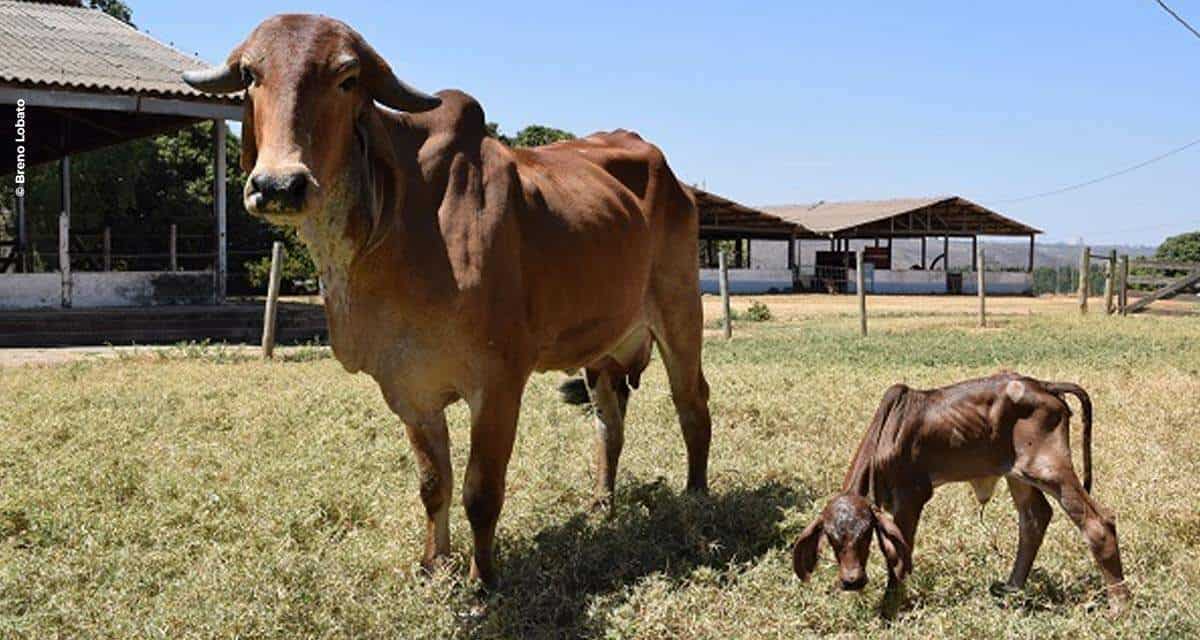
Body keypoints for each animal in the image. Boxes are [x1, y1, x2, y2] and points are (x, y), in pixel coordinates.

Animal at [184, 15, 710, 585]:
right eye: (251, 76)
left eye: (347, 78)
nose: (280, 185)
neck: (395, 230)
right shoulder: (408, 388)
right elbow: (434, 483)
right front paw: (434, 562)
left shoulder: (498, 382)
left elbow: (481, 491)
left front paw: (484, 577)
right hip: (603, 352)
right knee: (609, 423)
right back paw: (601, 503)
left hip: (680, 313)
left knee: (692, 404)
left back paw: (697, 496)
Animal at [792, 372, 1128, 612]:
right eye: (831, 538)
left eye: (865, 534)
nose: (852, 581)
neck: (887, 434)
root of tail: (1044, 385)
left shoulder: (911, 495)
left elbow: (897, 553)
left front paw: (890, 607)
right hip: (1017, 473)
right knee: (1035, 517)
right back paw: (1012, 588)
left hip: (1048, 467)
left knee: (1098, 523)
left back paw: (1119, 605)